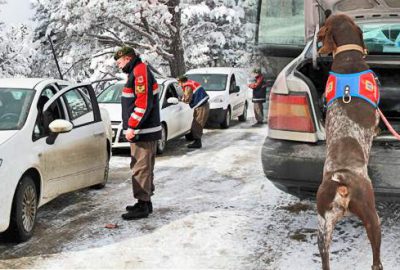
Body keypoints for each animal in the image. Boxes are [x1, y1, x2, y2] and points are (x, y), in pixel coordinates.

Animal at [316, 14, 384, 270]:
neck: (348, 56)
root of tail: (341, 181)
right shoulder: (376, 115)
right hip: (372, 216)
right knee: (376, 261)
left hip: (323, 227)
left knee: (325, 261)